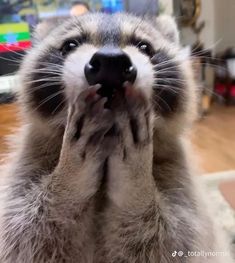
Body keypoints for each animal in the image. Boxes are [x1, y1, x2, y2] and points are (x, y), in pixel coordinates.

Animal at [0, 12, 233, 263]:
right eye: (71, 45)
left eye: (144, 46)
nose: (110, 63)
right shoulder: (27, 164)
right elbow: (26, 231)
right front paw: (70, 177)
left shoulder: (181, 180)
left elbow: (170, 241)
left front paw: (135, 184)